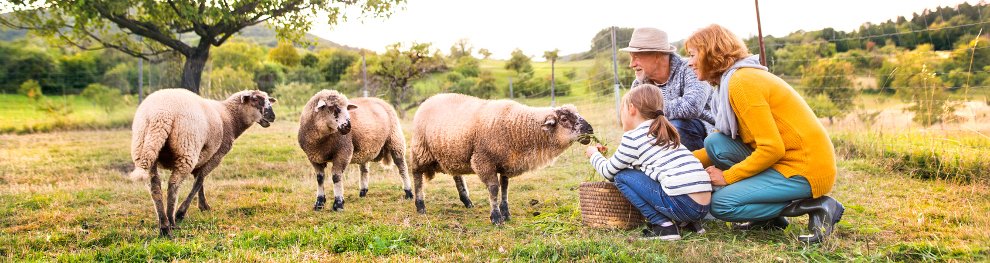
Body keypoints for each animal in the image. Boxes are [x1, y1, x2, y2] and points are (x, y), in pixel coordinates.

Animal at [129, 89, 276, 239]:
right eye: (256, 100)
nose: (272, 116)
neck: (230, 117)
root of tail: (159, 115)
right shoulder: (216, 156)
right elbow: (199, 182)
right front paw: (183, 212)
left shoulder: (203, 158)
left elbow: (200, 182)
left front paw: (203, 206)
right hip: (186, 150)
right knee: (173, 185)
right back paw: (172, 221)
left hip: (145, 149)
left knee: (155, 188)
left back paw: (164, 226)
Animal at [412, 93, 596, 225]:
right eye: (564, 119)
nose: (590, 130)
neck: (518, 127)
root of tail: (430, 99)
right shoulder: (484, 160)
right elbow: (494, 188)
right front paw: (496, 217)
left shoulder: (506, 163)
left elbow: (505, 187)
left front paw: (506, 212)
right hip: (420, 150)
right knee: (416, 175)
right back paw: (420, 205)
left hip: (453, 153)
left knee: (456, 175)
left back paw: (467, 201)